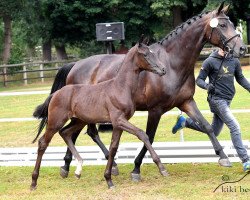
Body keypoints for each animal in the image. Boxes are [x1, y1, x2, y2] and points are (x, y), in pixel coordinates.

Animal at [31, 42, 168, 189]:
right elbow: (142, 134)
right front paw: (162, 168)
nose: (163, 70)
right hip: (55, 122)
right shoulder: (119, 120)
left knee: (65, 133)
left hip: (79, 121)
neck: (120, 87)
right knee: (43, 143)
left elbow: (114, 147)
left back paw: (78, 169)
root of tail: (55, 94)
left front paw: (109, 179)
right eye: (145, 54)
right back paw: (34, 182)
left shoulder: (119, 123)